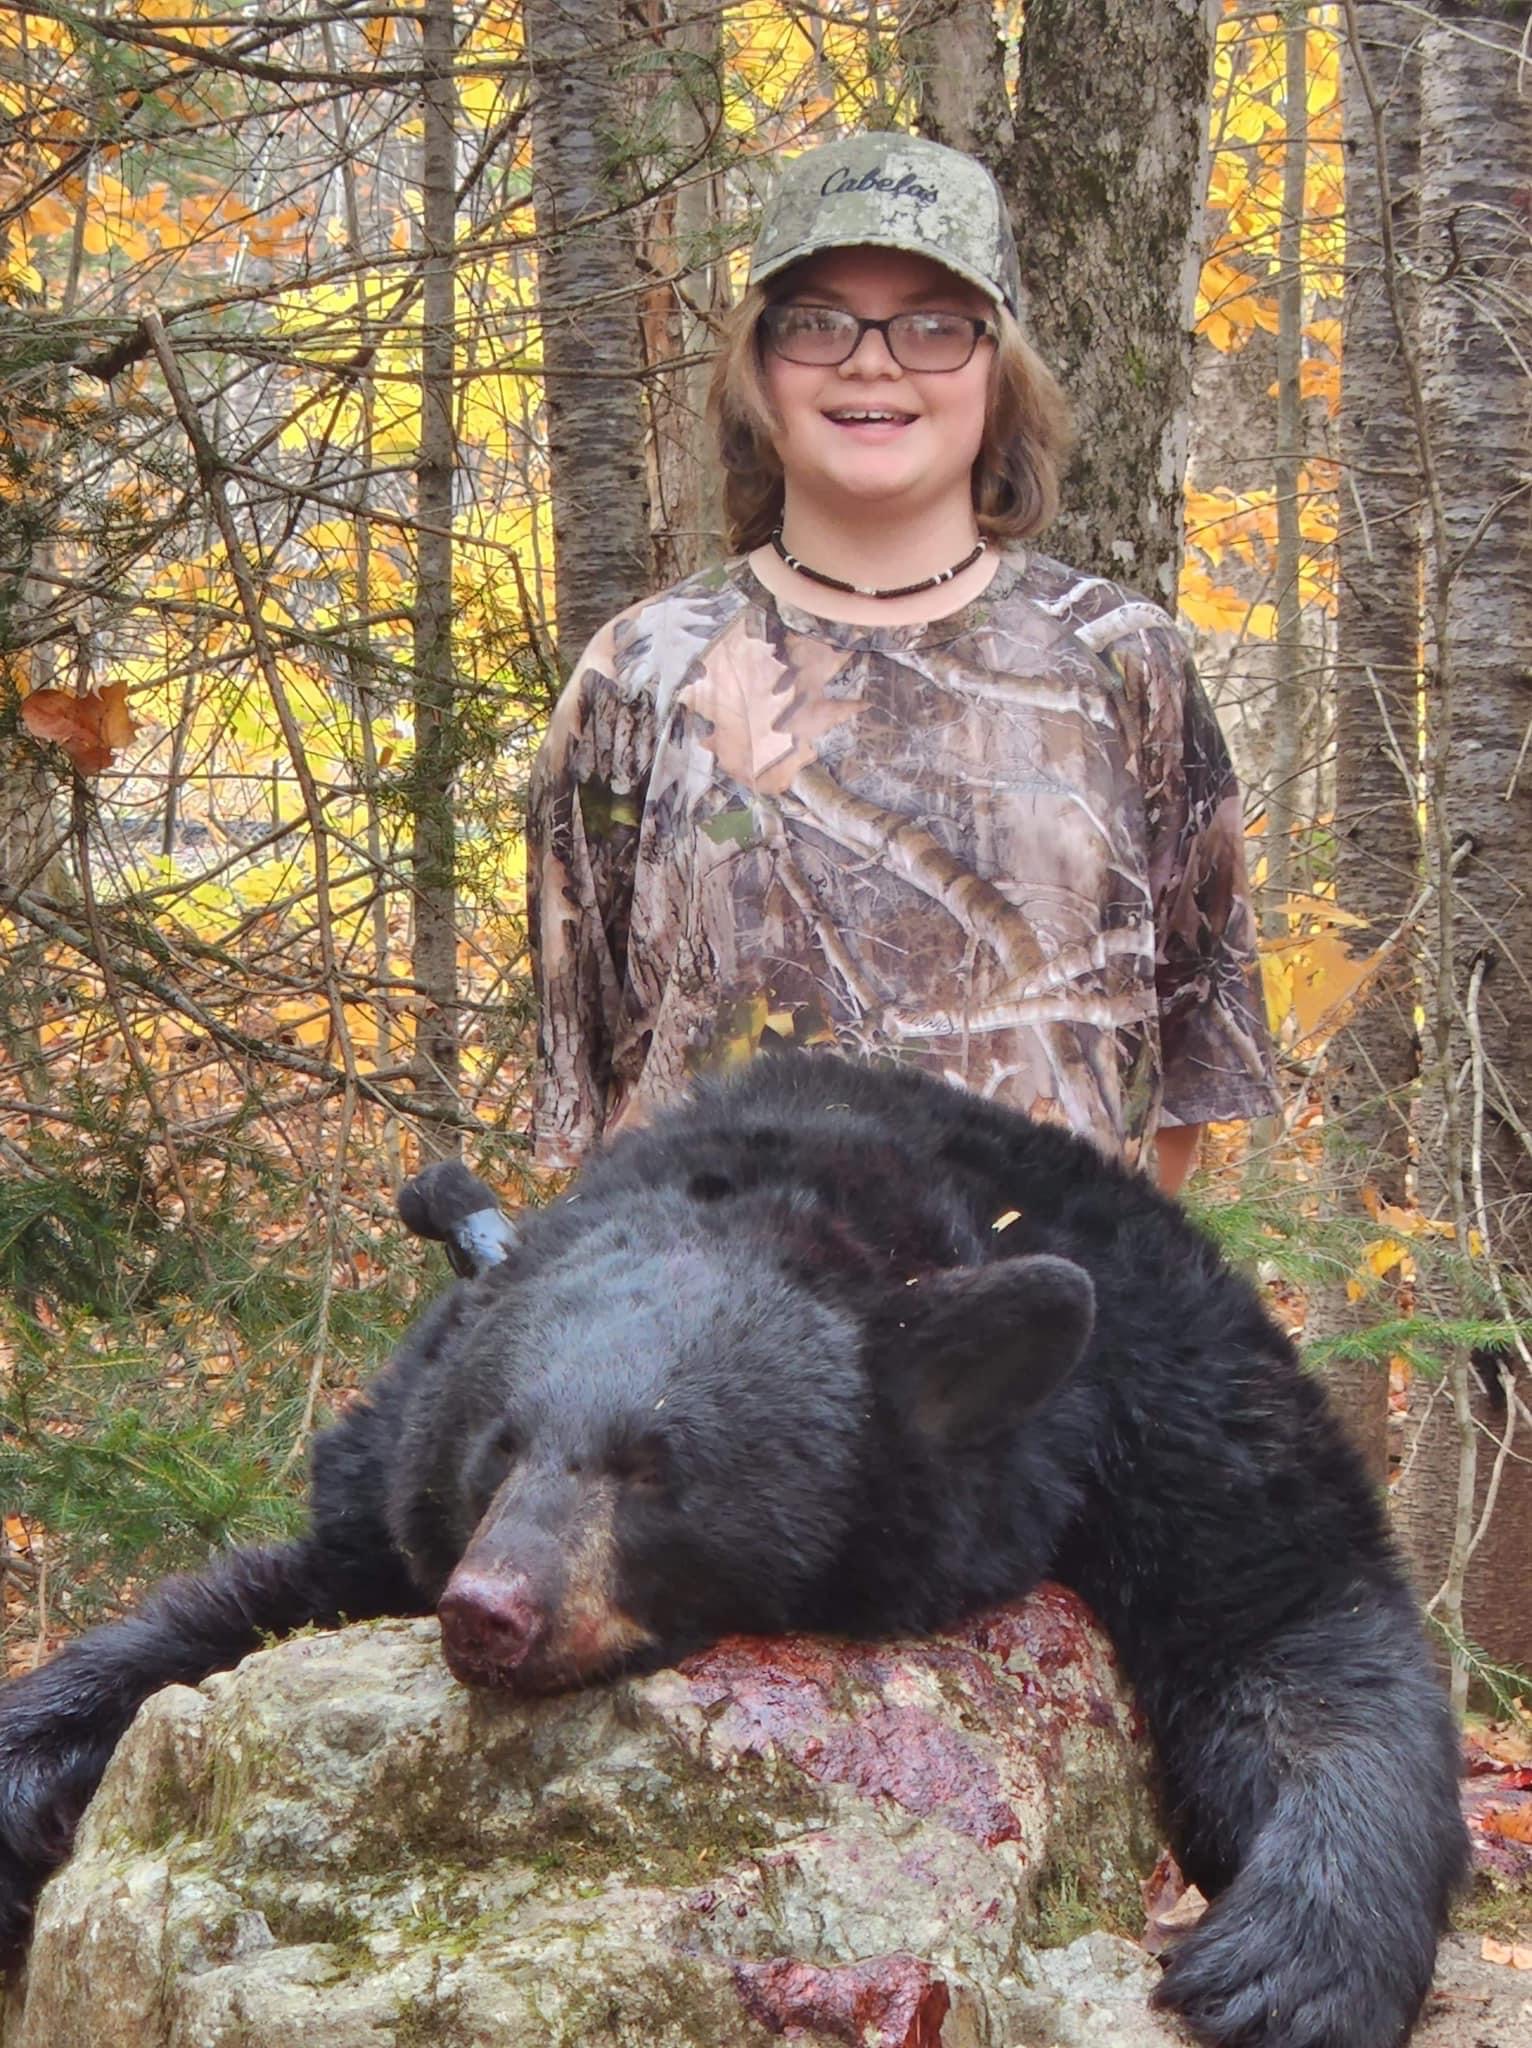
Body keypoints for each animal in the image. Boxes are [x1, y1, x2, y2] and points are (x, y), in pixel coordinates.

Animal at [0, 1053, 1467, 2048]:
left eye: (655, 1468)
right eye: (499, 1446)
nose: (490, 1609)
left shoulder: (1172, 1398)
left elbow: (1293, 1623)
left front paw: (1284, 1965)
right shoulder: (380, 1504)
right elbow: (242, 1604)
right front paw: (27, 1774)